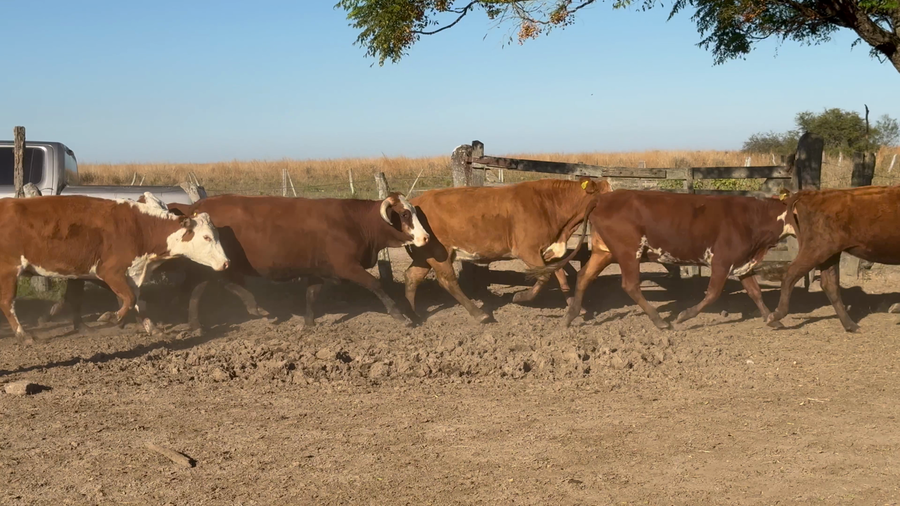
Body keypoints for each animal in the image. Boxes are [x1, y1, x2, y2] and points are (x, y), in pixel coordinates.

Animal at [0, 192, 229, 344]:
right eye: (207, 237)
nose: (226, 262)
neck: (140, 228)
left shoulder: (134, 273)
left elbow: (138, 301)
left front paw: (152, 328)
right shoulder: (110, 272)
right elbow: (130, 299)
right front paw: (111, 317)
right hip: (9, 271)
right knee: (7, 303)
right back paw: (23, 335)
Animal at [137, 192, 430, 330]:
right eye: (405, 214)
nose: (426, 237)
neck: (353, 221)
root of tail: (195, 207)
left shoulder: (318, 271)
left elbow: (311, 294)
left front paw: (308, 322)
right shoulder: (348, 267)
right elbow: (376, 286)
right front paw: (401, 316)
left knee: (208, 287)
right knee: (213, 286)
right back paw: (247, 309)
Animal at [403, 177, 610, 323]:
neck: (548, 205)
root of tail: (416, 200)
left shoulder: (548, 251)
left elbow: (560, 276)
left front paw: (577, 307)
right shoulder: (527, 250)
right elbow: (544, 277)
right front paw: (521, 296)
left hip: (424, 255)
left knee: (412, 277)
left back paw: (413, 315)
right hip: (440, 253)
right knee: (448, 281)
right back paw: (479, 314)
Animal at [530, 190, 795, 329]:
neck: (750, 218)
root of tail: (602, 198)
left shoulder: (742, 263)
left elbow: (755, 292)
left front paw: (772, 319)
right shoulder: (721, 262)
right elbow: (712, 294)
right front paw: (684, 315)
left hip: (604, 252)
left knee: (584, 277)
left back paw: (570, 315)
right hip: (629, 252)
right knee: (630, 285)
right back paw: (659, 320)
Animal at [766, 186, 900, 332]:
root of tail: (811, 195)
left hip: (831, 255)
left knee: (829, 284)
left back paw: (851, 325)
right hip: (817, 250)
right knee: (791, 274)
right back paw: (774, 316)